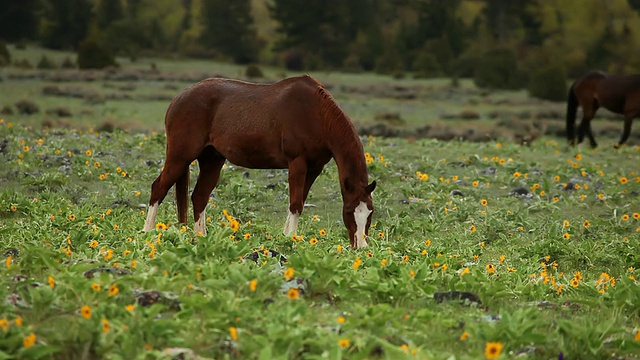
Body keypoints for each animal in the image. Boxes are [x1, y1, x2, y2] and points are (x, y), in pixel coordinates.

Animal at [142, 74, 378, 249]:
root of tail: (178, 99)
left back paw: (201, 238)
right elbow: (295, 204)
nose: (361, 247)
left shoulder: (314, 169)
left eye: (370, 214)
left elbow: (299, 203)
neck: (315, 114)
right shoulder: (297, 163)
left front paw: (286, 236)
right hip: (180, 156)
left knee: (199, 196)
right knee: (159, 188)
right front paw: (289, 240)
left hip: (212, 160)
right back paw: (148, 232)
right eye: (348, 212)